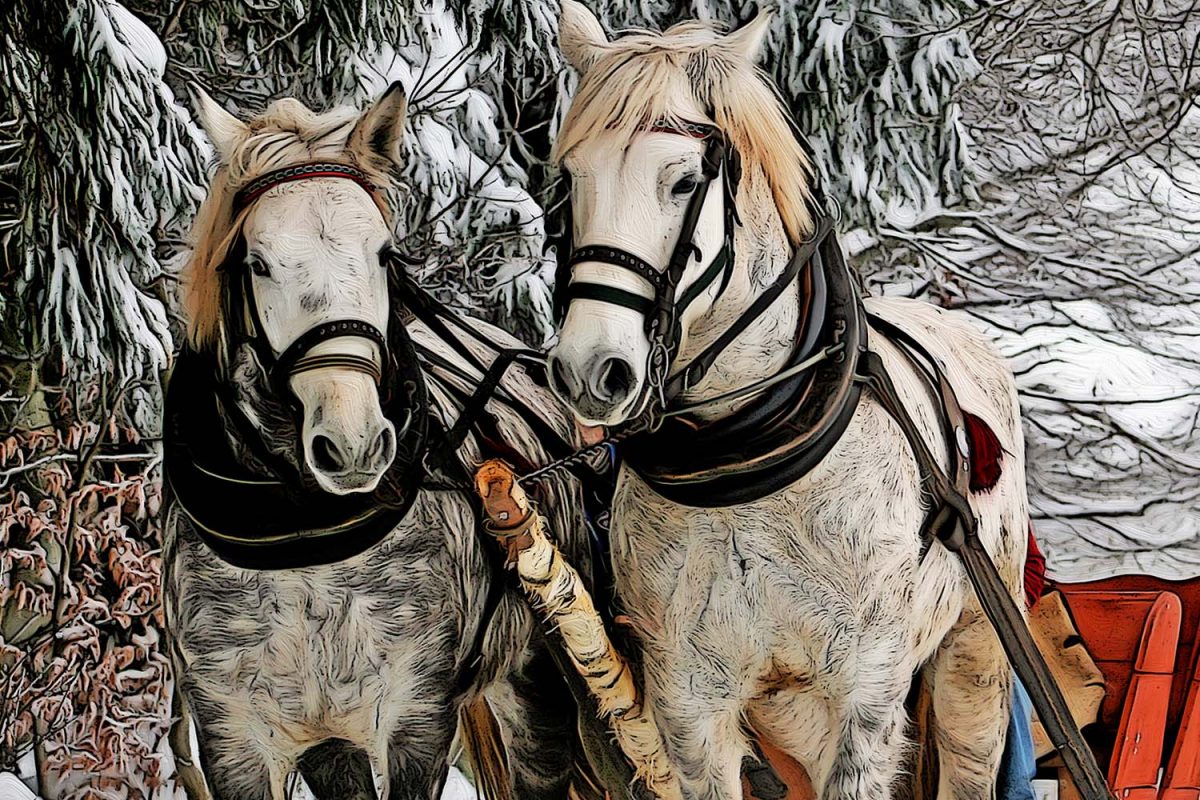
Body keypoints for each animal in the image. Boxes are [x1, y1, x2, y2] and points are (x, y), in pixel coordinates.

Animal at [161, 84, 602, 800]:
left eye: (384, 254)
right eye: (257, 262)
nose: (355, 445)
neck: (304, 546)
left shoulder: (415, 722)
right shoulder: (238, 744)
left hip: (536, 679)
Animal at [545, 4, 1030, 799]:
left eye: (684, 182)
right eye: (570, 177)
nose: (592, 370)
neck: (749, 467)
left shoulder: (865, 695)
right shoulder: (689, 704)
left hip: (976, 649)